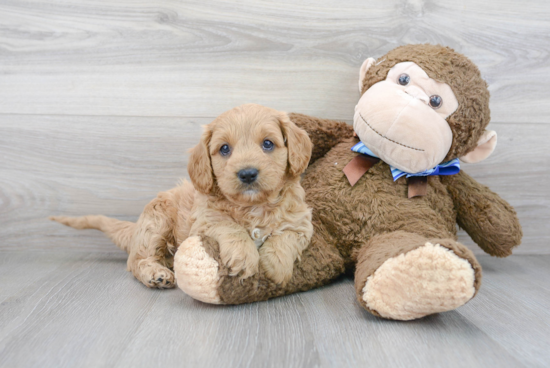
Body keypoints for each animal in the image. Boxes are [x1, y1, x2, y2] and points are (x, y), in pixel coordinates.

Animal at [51, 103, 314, 288]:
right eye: (224, 149)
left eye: (268, 144)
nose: (247, 174)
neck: (253, 206)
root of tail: (136, 228)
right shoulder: (206, 220)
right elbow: (231, 227)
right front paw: (244, 257)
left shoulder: (301, 222)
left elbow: (286, 237)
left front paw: (276, 266)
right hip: (156, 222)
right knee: (136, 260)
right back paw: (156, 274)